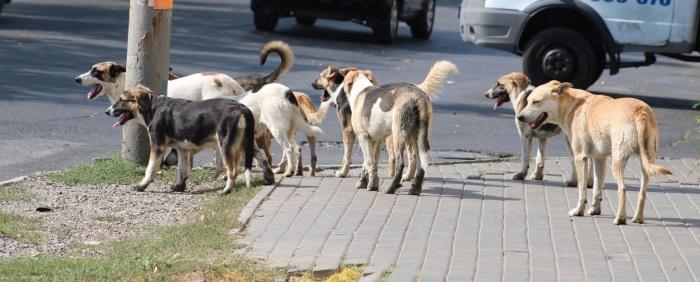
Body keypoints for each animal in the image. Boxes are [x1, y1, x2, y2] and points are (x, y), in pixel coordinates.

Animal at [104, 86, 274, 195]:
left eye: (121, 99)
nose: (106, 111)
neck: (152, 107)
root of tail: (241, 107)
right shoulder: (182, 149)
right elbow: (182, 170)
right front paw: (180, 186)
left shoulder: (157, 146)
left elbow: (150, 169)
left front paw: (141, 186)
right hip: (245, 143)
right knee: (262, 156)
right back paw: (269, 177)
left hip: (226, 145)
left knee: (233, 171)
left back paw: (226, 191)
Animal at [340, 60, 460, 195]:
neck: (361, 89)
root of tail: (418, 97)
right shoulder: (374, 140)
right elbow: (368, 163)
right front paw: (366, 183)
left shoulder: (363, 137)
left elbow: (369, 162)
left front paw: (371, 186)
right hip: (417, 138)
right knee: (421, 163)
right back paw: (415, 189)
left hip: (398, 136)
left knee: (400, 164)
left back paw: (391, 188)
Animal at [520, 80, 672, 225]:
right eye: (528, 101)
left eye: (536, 102)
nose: (519, 117)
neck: (573, 105)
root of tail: (640, 111)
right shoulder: (599, 159)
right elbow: (597, 187)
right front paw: (595, 209)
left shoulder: (580, 158)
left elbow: (582, 189)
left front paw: (579, 211)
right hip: (646, 163)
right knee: (642, 192)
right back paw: (638, 218)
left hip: (617, 161)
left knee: (622, 189)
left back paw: (620, 219)